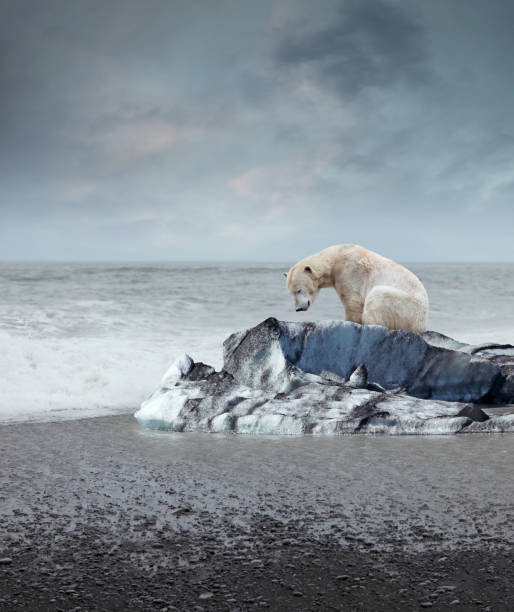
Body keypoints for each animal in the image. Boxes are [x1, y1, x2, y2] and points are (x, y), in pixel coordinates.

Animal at [284, 244, 428, 334]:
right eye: (291, 293)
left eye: (299, 290)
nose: (298, 308)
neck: (336, 258)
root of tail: (421, 323)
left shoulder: (350, 272)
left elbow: (353, 302)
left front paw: (349, 322)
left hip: (406, 306)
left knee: (378, 296)